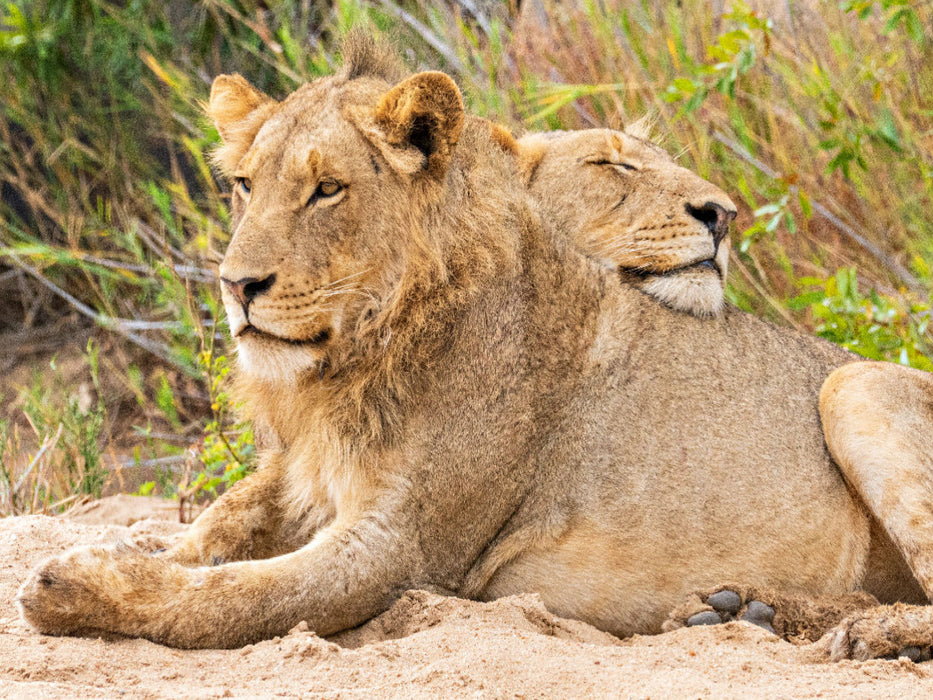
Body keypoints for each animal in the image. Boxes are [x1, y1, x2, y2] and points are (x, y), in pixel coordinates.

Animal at [12, 38, 932, 660]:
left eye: (327, 188)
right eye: (243, 186)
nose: (238, 286)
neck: (356, 357)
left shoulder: (402, 548)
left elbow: (236, 599)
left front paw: (72, 587)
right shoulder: (305, 469)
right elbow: (215, 524)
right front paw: (119, 549)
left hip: (852, 385)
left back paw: (859, 630)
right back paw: (742, 611)